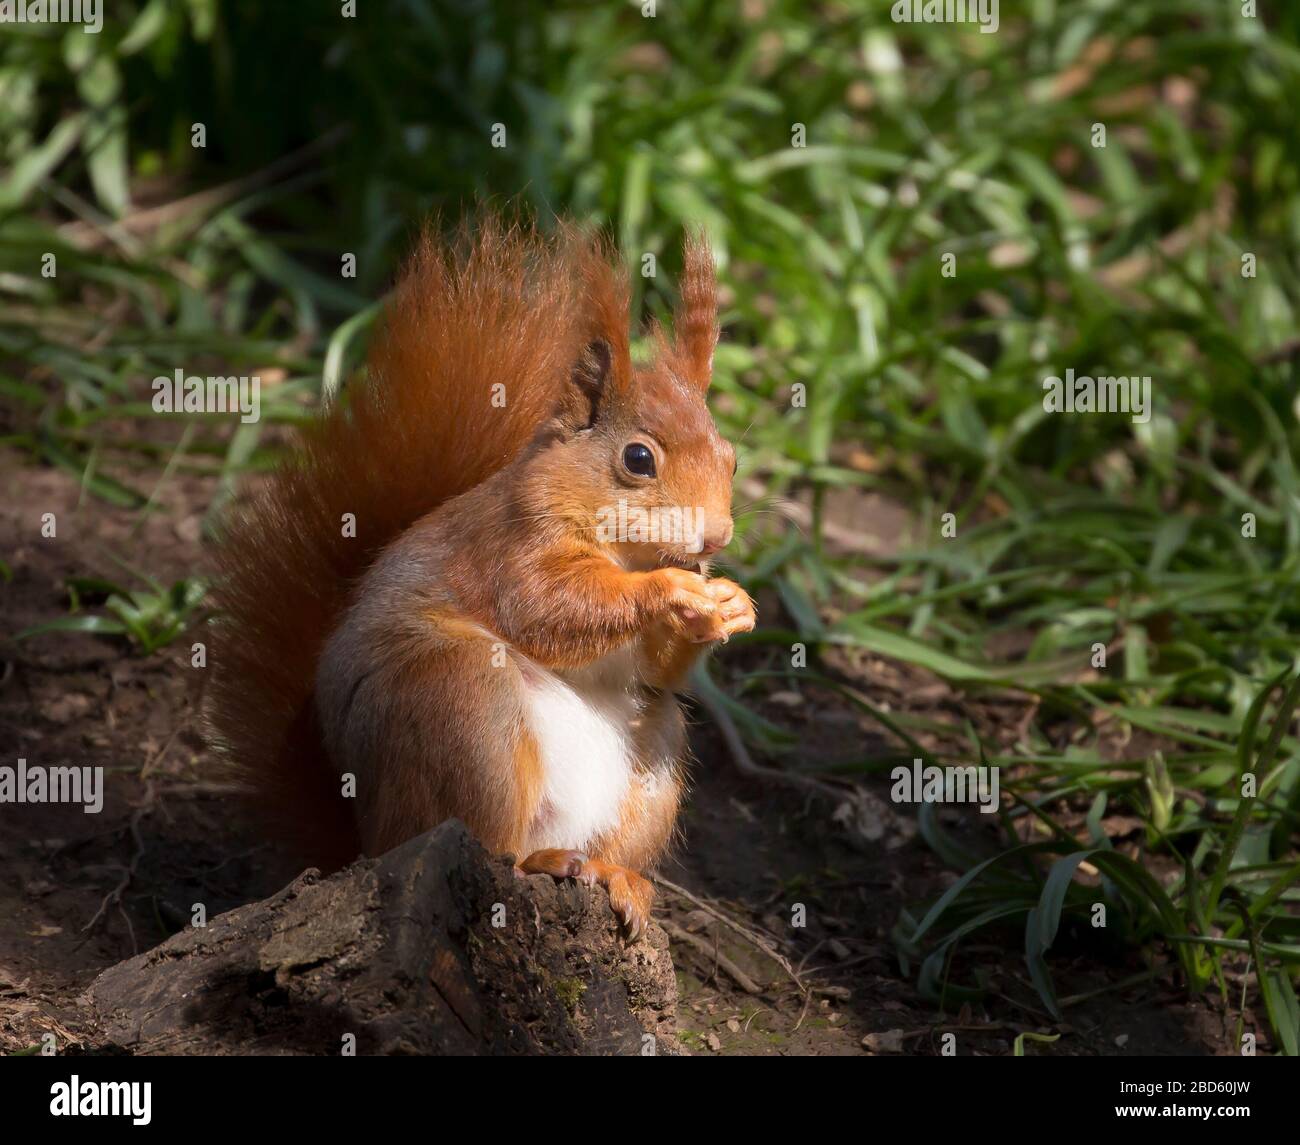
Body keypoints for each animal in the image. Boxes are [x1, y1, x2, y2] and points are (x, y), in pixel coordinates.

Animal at [201, 217, 754, 935]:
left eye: (732, 458)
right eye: (638, 459)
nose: (714, 538)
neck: (627, 551)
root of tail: (369, 843)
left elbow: (655, 666)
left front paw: (731, 604)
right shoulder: (509, 545)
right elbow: (547, 607)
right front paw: (666, 593)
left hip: (650, 750)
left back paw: (617, 877)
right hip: (459, 706)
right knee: (495, 840)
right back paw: (533, 861)